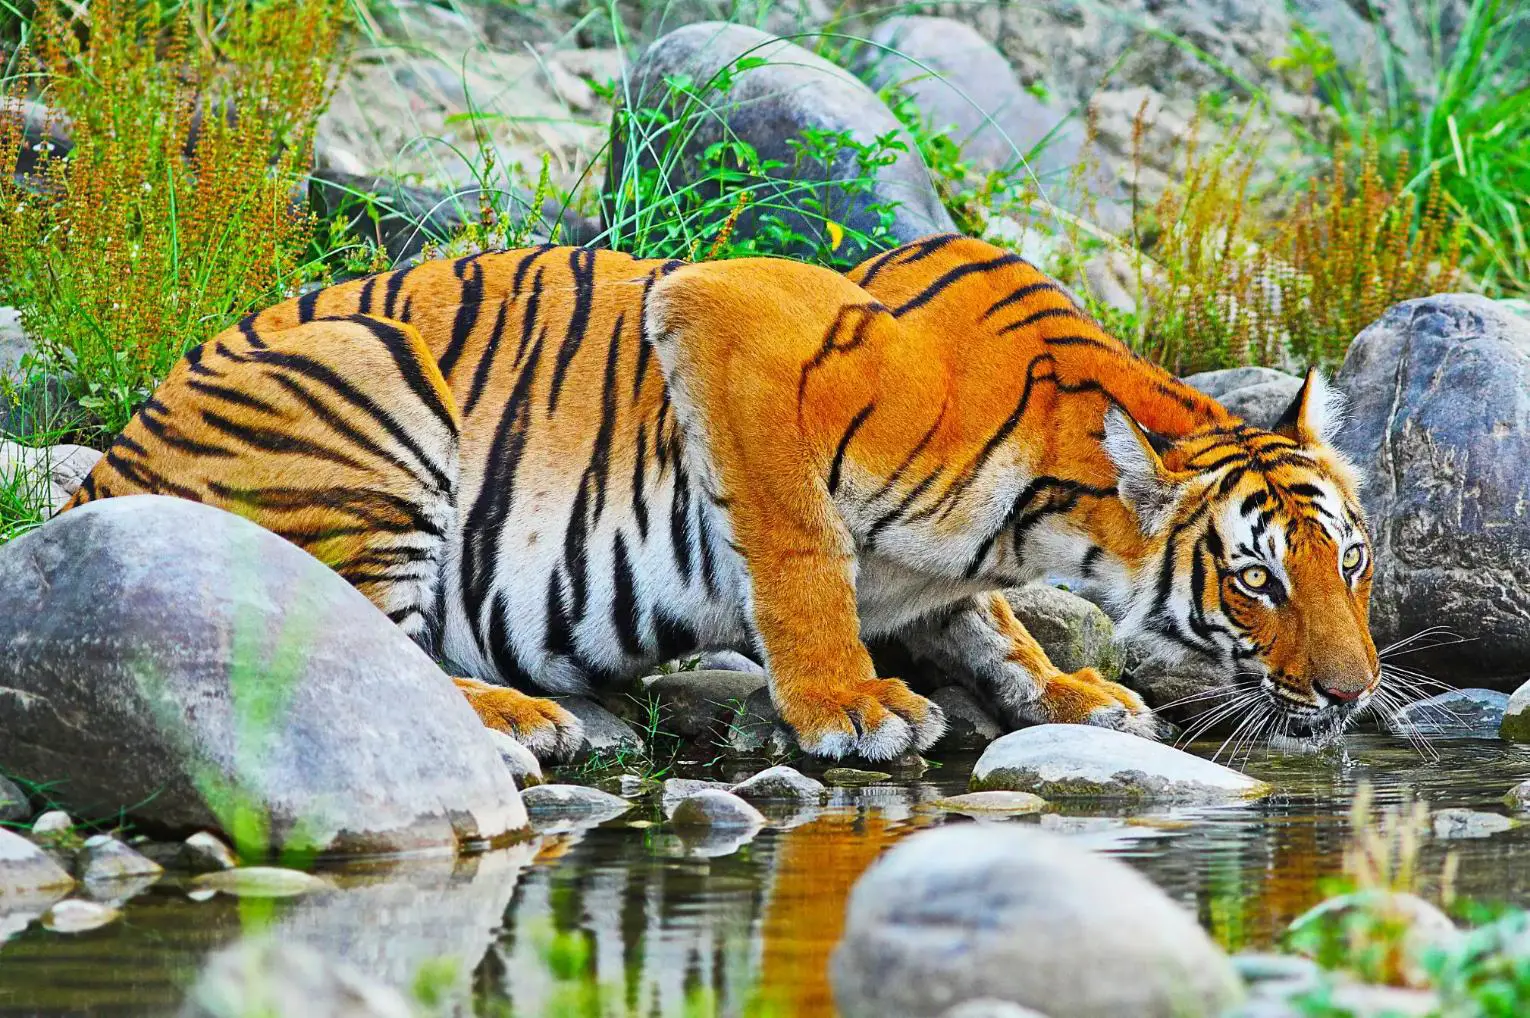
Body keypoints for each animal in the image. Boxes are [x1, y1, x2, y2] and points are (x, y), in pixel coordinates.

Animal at [63, 233, 1380, 760]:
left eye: (1352, 564)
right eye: (1256, 579)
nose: (1355, 693)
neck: (1043, 517)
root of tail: (105, 473)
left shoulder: (954, 575)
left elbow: (992, 623)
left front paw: (1070, 689)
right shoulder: (726, 317)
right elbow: (800, 551)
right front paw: (851, 704)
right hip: (365, 372)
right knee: (367, 649)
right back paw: (517, 717)